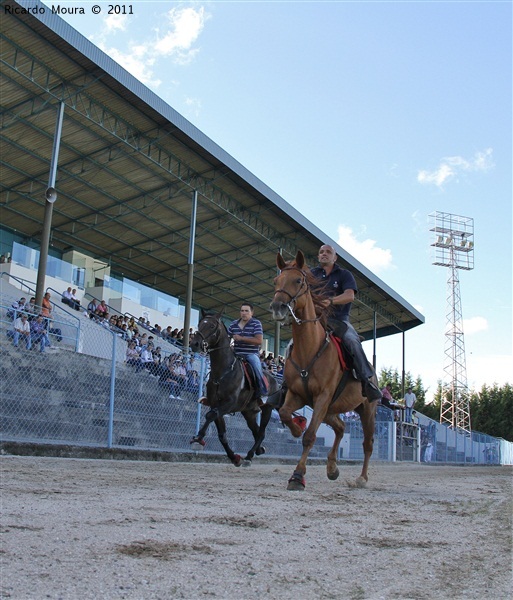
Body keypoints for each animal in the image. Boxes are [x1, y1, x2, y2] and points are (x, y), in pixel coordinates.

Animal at [268, 251, 376, 490]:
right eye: (276, 281)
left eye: (298, 281)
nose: (278, 308)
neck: (310, 348)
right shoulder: (297, 395)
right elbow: (285, 414)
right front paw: (296, 428)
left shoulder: (323, 397)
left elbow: (310, 437)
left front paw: (297, 476)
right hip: (331, 410)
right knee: (341, 428)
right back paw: (332, 468)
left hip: (366, 409)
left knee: (367, 444)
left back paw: (362, 478)